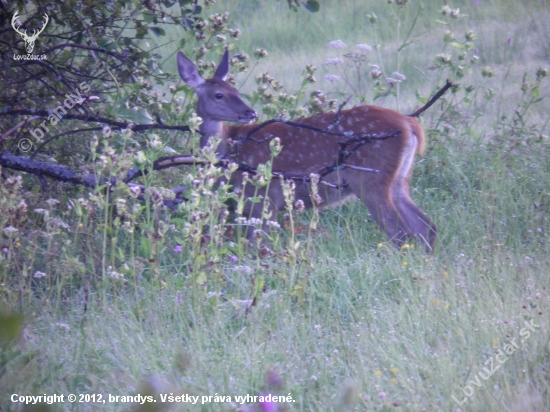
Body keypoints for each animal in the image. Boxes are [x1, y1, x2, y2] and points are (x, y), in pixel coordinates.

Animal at [179, 48, 438, 251]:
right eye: (219, 94)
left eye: (235, 91)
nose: (250, 112)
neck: (231, 148)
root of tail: (410, 124)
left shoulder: (263, 195)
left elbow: (257, 245)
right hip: (398, 179)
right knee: (426, 227)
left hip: (371, 179)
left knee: (400, 232)